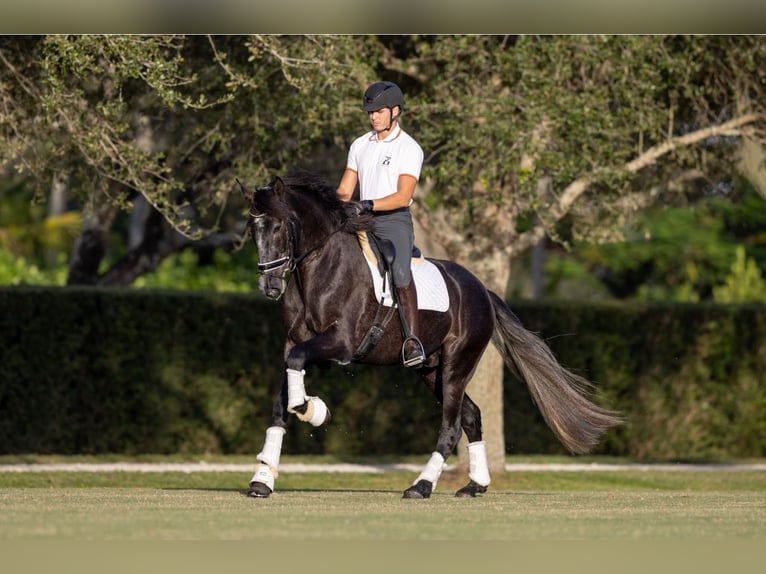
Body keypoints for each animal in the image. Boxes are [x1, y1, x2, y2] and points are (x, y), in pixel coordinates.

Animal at [240, 171, 624, 500]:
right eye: (252, 229)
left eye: (278, 226)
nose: (269, 287)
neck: (318, 268)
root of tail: (481, 290)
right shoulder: (296, 343)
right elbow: (282, 400)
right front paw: (262, 479)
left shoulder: (340, 343)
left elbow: (295, 385)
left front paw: (313, 410)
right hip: (431, 371)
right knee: (471, 417)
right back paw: (474, 485)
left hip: (456, 365)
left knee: (452, 426)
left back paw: (421, 486)